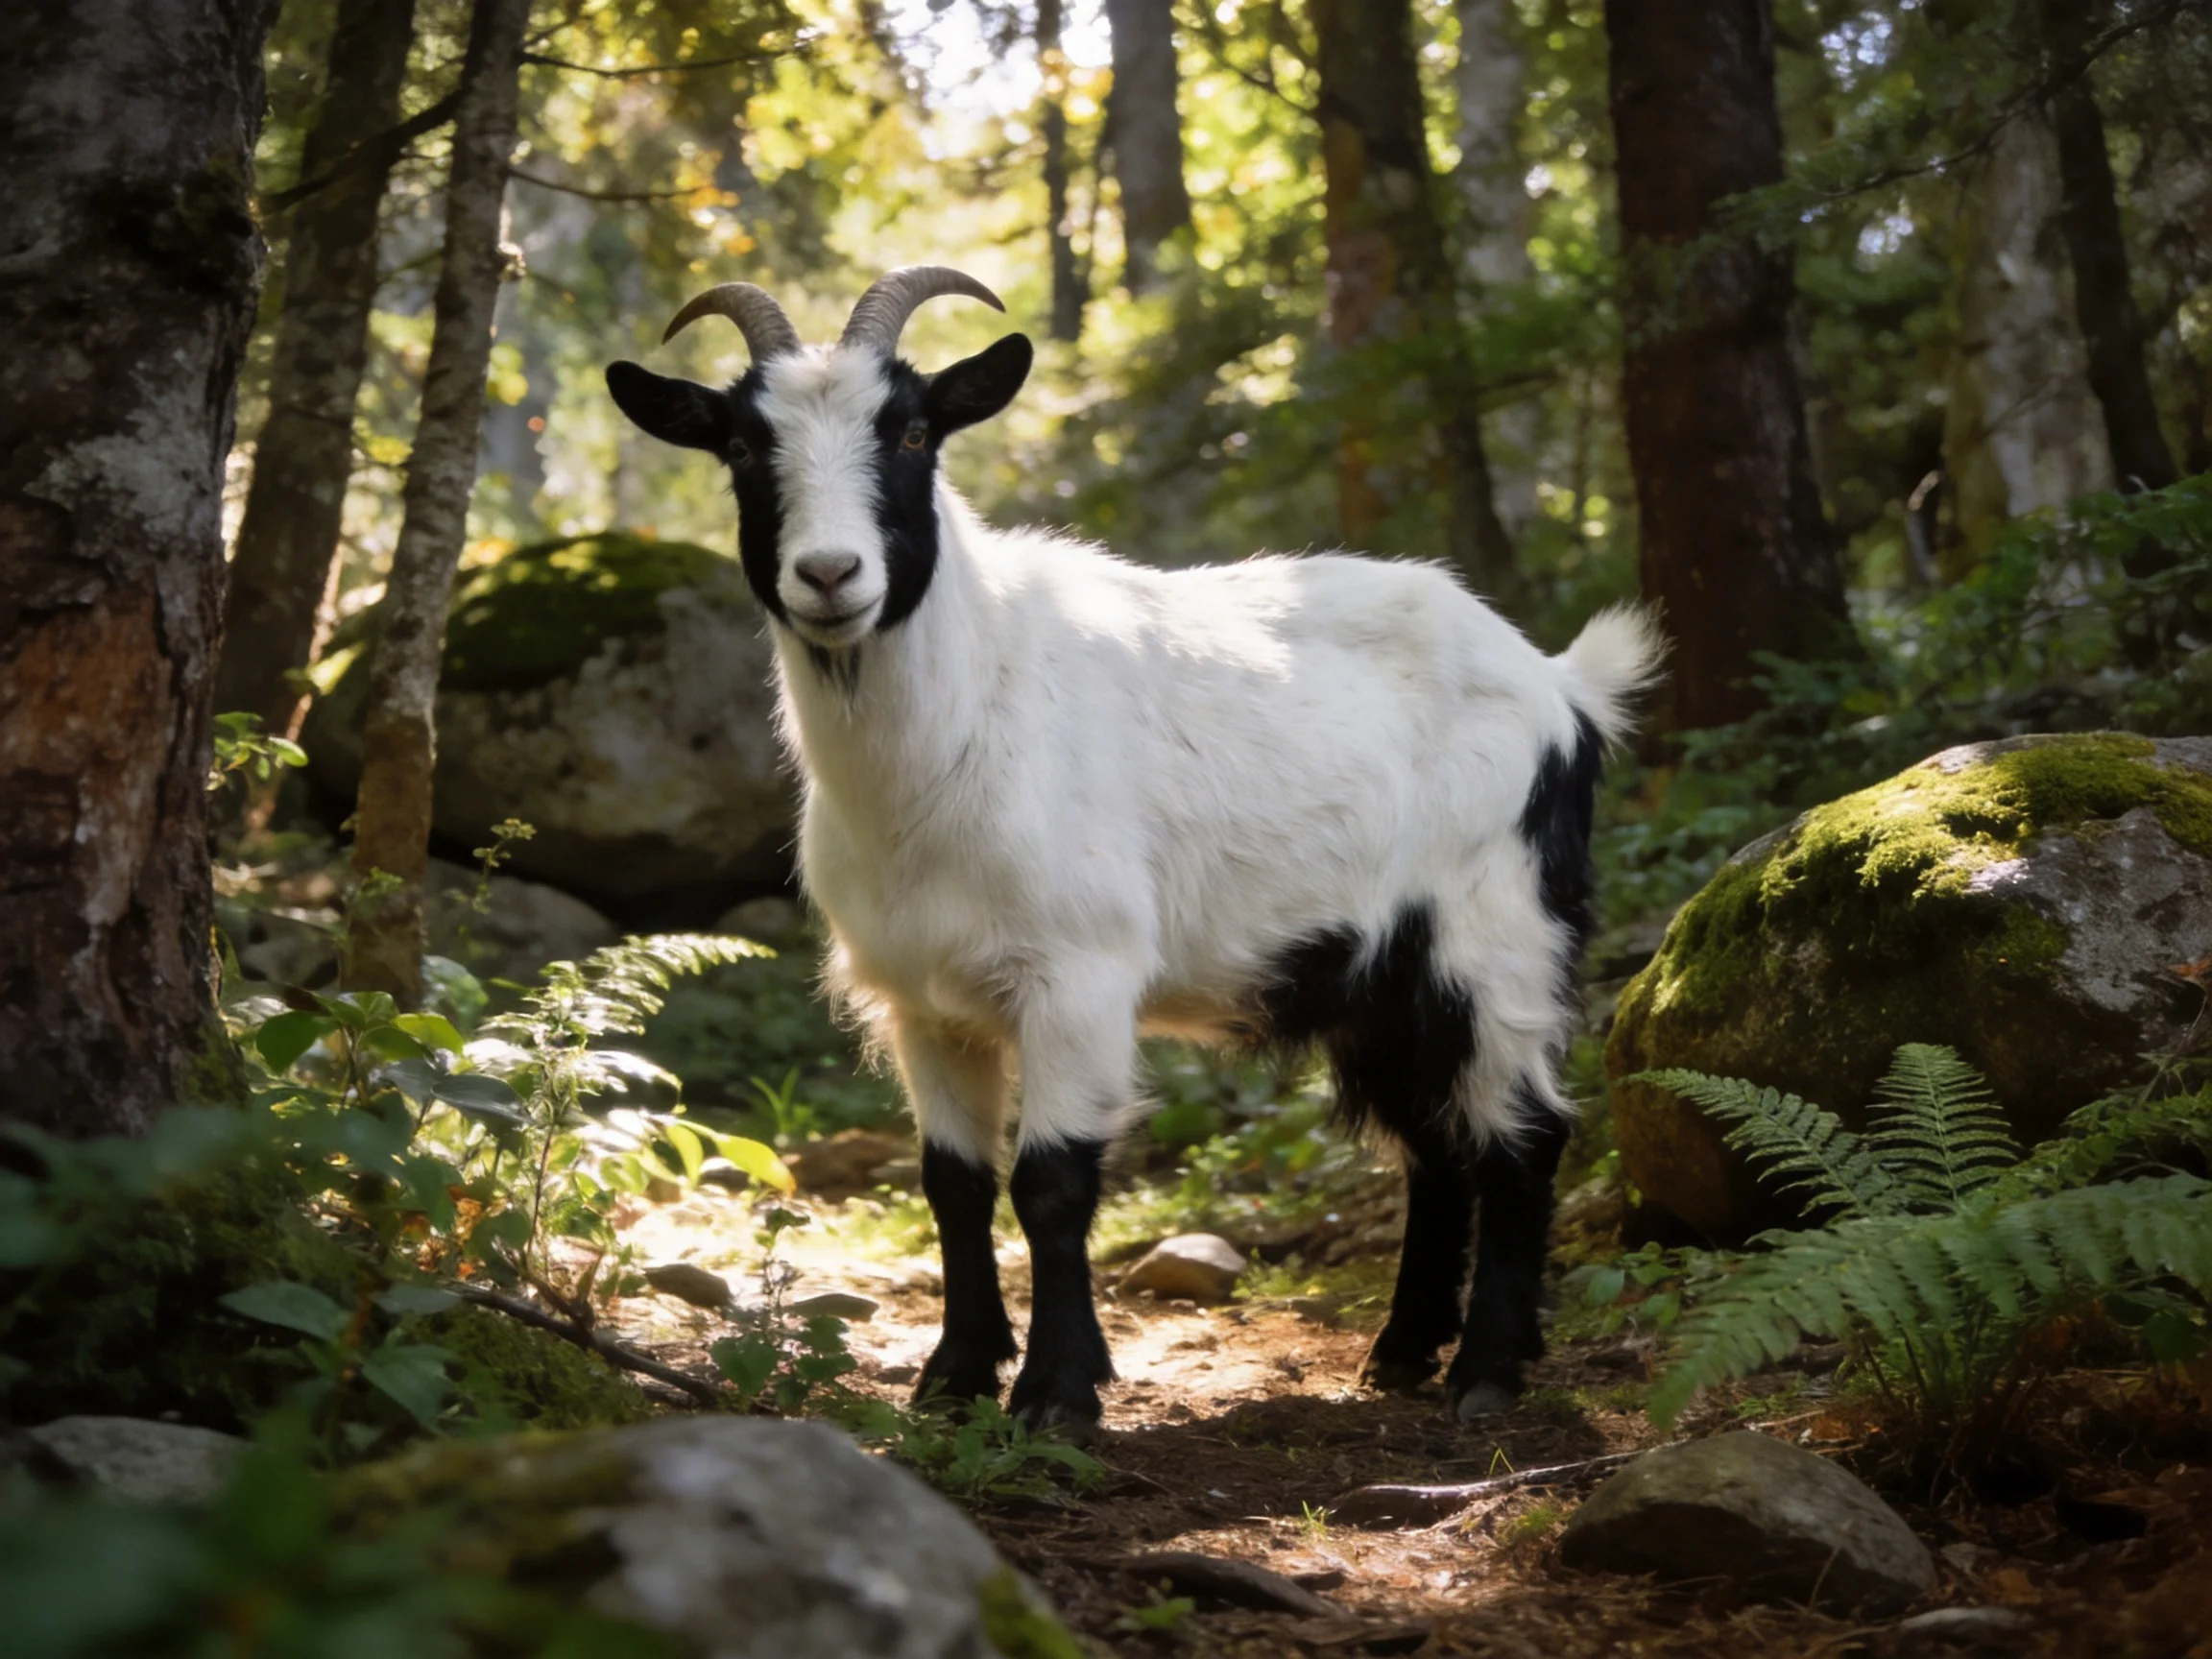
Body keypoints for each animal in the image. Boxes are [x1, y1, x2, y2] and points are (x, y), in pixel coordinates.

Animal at [606, 267, 1660, 1432]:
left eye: (914, 430)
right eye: (744, 446)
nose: (831, 575)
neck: (962, 730)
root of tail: (1561, 686)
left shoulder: (1078, 972)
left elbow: (1053, 1182)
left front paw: (1058, 1393)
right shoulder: (924, 1002)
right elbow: (954, 1184)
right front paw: (956, 1376)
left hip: (1500, 928)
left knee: (1522, 1134)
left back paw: (1486, 1372)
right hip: (1378, 978)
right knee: (1435, 1146)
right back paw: (1400, 1352)